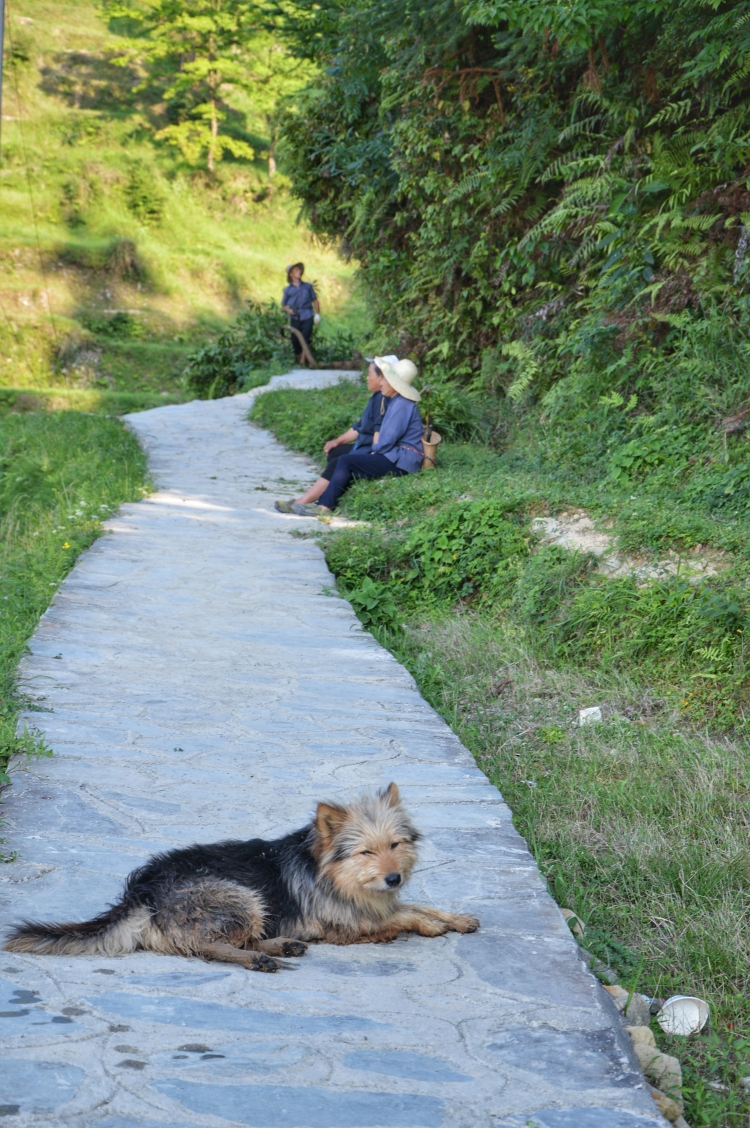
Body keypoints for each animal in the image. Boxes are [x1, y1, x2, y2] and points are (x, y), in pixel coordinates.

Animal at [2, 785, 475, 970]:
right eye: (366, 853)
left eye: (395, 844)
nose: (394, 878)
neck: (335, 874)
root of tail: (143, 890)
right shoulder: (346, 923)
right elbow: (403, 917)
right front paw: (429, 925)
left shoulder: (376, 903)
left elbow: (416, 905)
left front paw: (456, 917)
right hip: (239, 896)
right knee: (204, 946)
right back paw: (257, 958)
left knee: (233, 938)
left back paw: (280, 945)